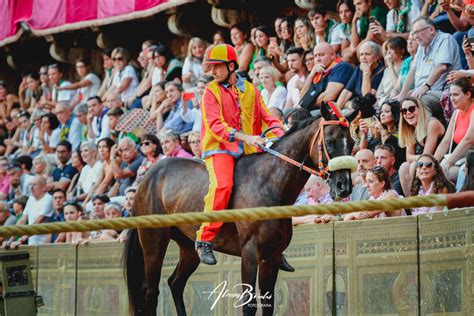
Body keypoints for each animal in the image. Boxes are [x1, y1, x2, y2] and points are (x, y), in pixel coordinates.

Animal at [124, 103, 358, 314]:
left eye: (352, 142)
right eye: (330, 141)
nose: (344, 186)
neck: (268, 184)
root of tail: (149, 177)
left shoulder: (271, 258)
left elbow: (268, 304)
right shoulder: (250, 252)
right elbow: (249, 304)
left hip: (188, 247)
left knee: (175, 283)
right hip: (153, 245)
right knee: (151, 294)